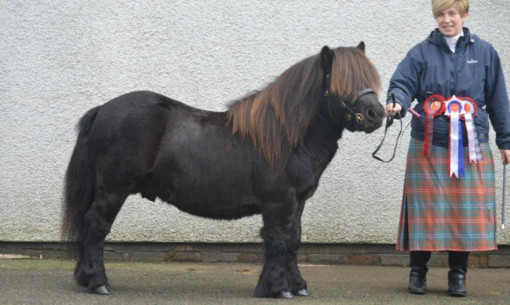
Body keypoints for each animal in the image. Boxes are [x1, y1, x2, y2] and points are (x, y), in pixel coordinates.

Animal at [62, 42, 382, 296]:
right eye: (343, 82)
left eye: (370, 79)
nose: (376, 114)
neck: (286, 139)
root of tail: (102, 109)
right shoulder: (278, 202)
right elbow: (278, 241)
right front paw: (277, 288)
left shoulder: (297, 202)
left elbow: (293, 241)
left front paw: (297, 286)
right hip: (113, 190)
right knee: (95, 227)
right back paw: (98, 283)